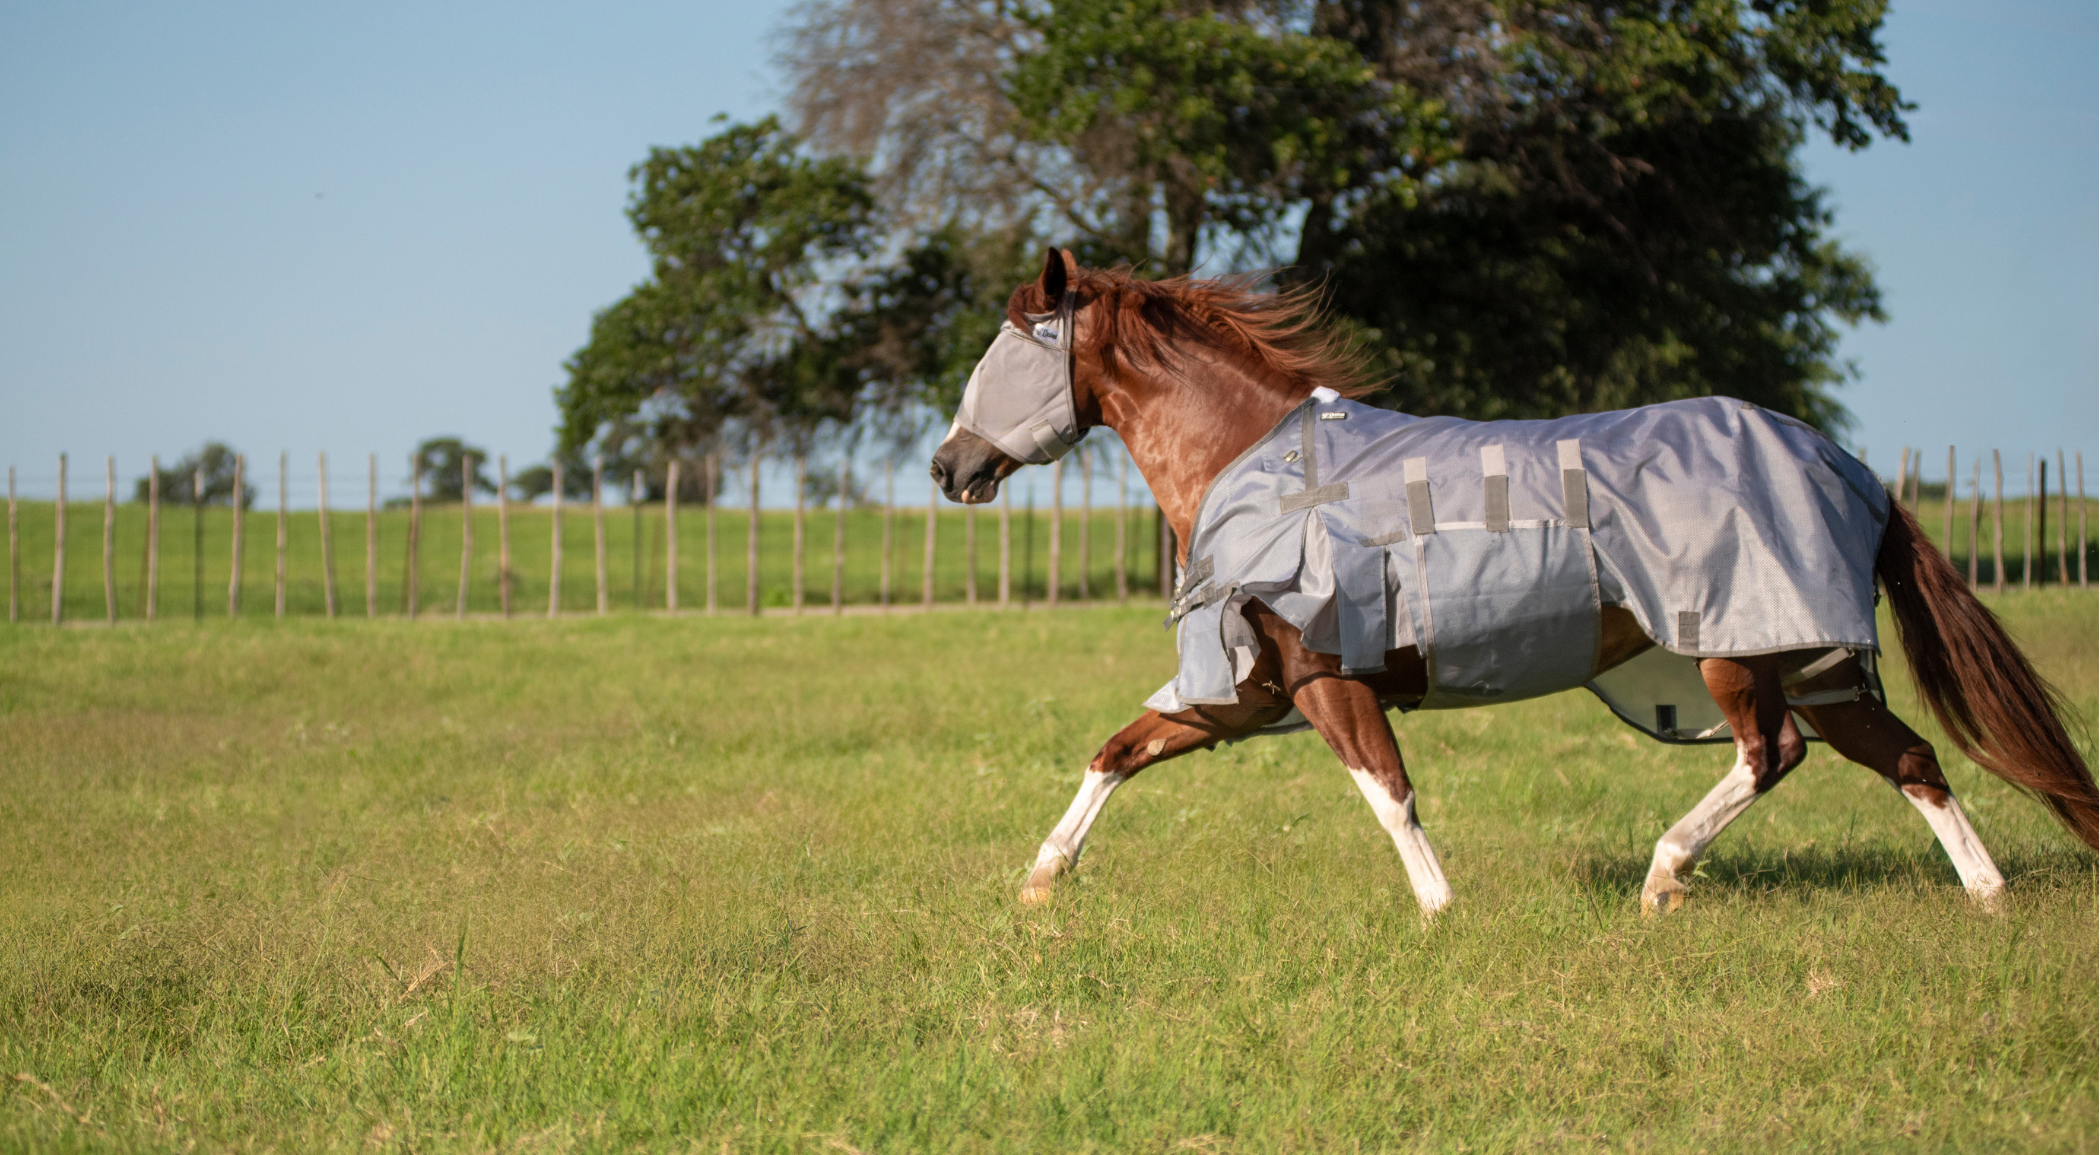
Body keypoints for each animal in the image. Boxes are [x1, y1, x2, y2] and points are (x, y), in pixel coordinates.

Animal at [929, 249, 2097, 918]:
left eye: (1005, 351)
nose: (947, 467)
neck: (1261, 463)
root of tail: (1846, 465)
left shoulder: (1323, 679)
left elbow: (1387, 790)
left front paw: (1441, 911)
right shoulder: (1246, 692)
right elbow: (1119, 751)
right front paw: (1039, 882)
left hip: (1737, 653)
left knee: (1775, 756)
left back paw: (1663, 876)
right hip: (1813, 662)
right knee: (1909, 758)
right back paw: (1990, 901)